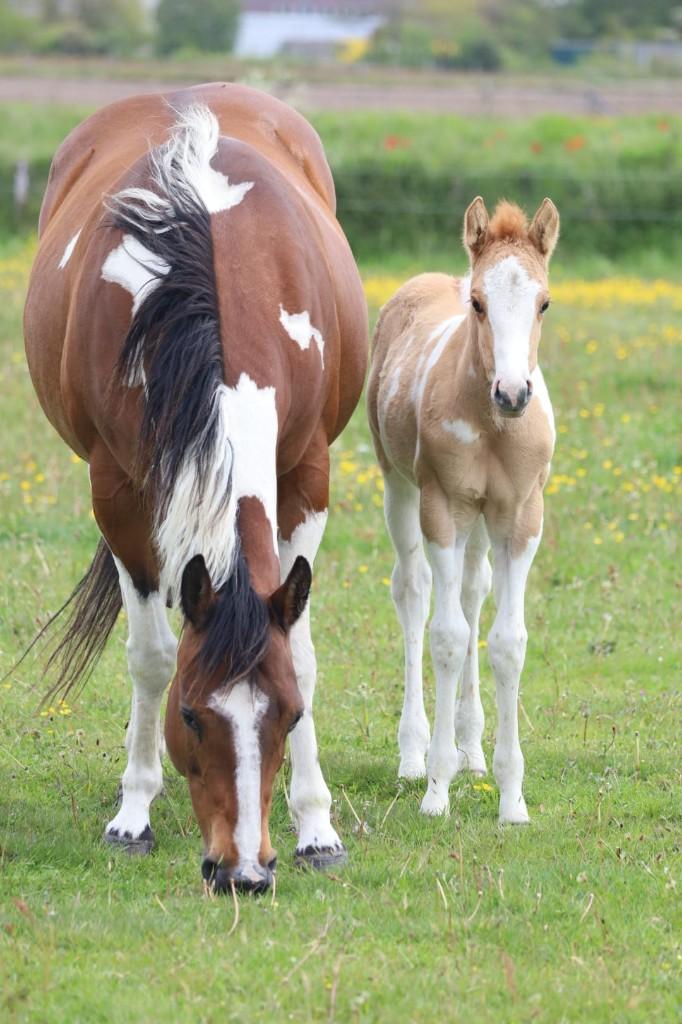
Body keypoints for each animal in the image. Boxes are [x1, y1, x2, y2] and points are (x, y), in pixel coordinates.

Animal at [23, 83, 368, 893]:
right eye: (189, 716)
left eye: (289, 716)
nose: (242, 871)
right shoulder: (119, 493)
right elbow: (151, 654)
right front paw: (133, 814)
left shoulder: (307, 475)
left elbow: (304, 652)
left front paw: (316, 828)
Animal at [367, 197, 558, 824]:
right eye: (477, 302)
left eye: (544, 302)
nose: (513, 393)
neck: (491, 423)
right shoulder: (443, 507)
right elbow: (447, 636)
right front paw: (436, 789)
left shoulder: (521, 515)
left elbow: (506, 642)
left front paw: (511, 799)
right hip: (399, 488)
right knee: (414, 592)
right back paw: (414, 754)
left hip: (482, 518)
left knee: (474, 592)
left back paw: (472, 751)